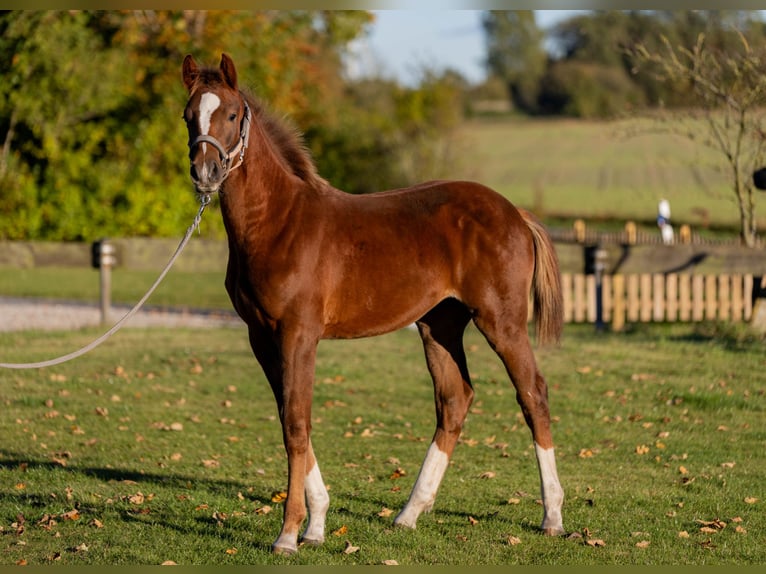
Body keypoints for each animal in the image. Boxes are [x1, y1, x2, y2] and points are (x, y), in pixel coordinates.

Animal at [181, 53, 565, 555]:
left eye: (229, 114)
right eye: (188, 115)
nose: (205, 173)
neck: (279, 223)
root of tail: (515, 213)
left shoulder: (299, 334)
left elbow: (297, 424)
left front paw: (289, 533)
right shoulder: (261, 337)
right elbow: (288, 416)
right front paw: (317, 524)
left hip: (501, 321)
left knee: (532, 394)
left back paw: (552, 516)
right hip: (439, 324)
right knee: (455, 399)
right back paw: (408, 513)